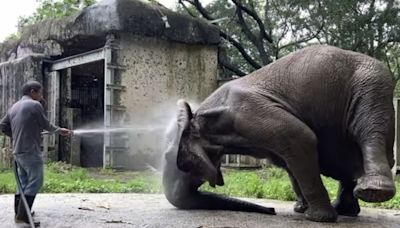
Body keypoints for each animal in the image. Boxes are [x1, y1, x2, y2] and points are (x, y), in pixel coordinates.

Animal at [161, 45, 396, 223]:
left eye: (184, 164)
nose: (271, 210)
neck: (199, 113)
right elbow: (290, 162)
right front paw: (301, 209)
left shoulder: (251, 113)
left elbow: (302, 137)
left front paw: (318, 218)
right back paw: (345, 210)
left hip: (371, 86)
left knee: (370, 131)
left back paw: (372, 192)